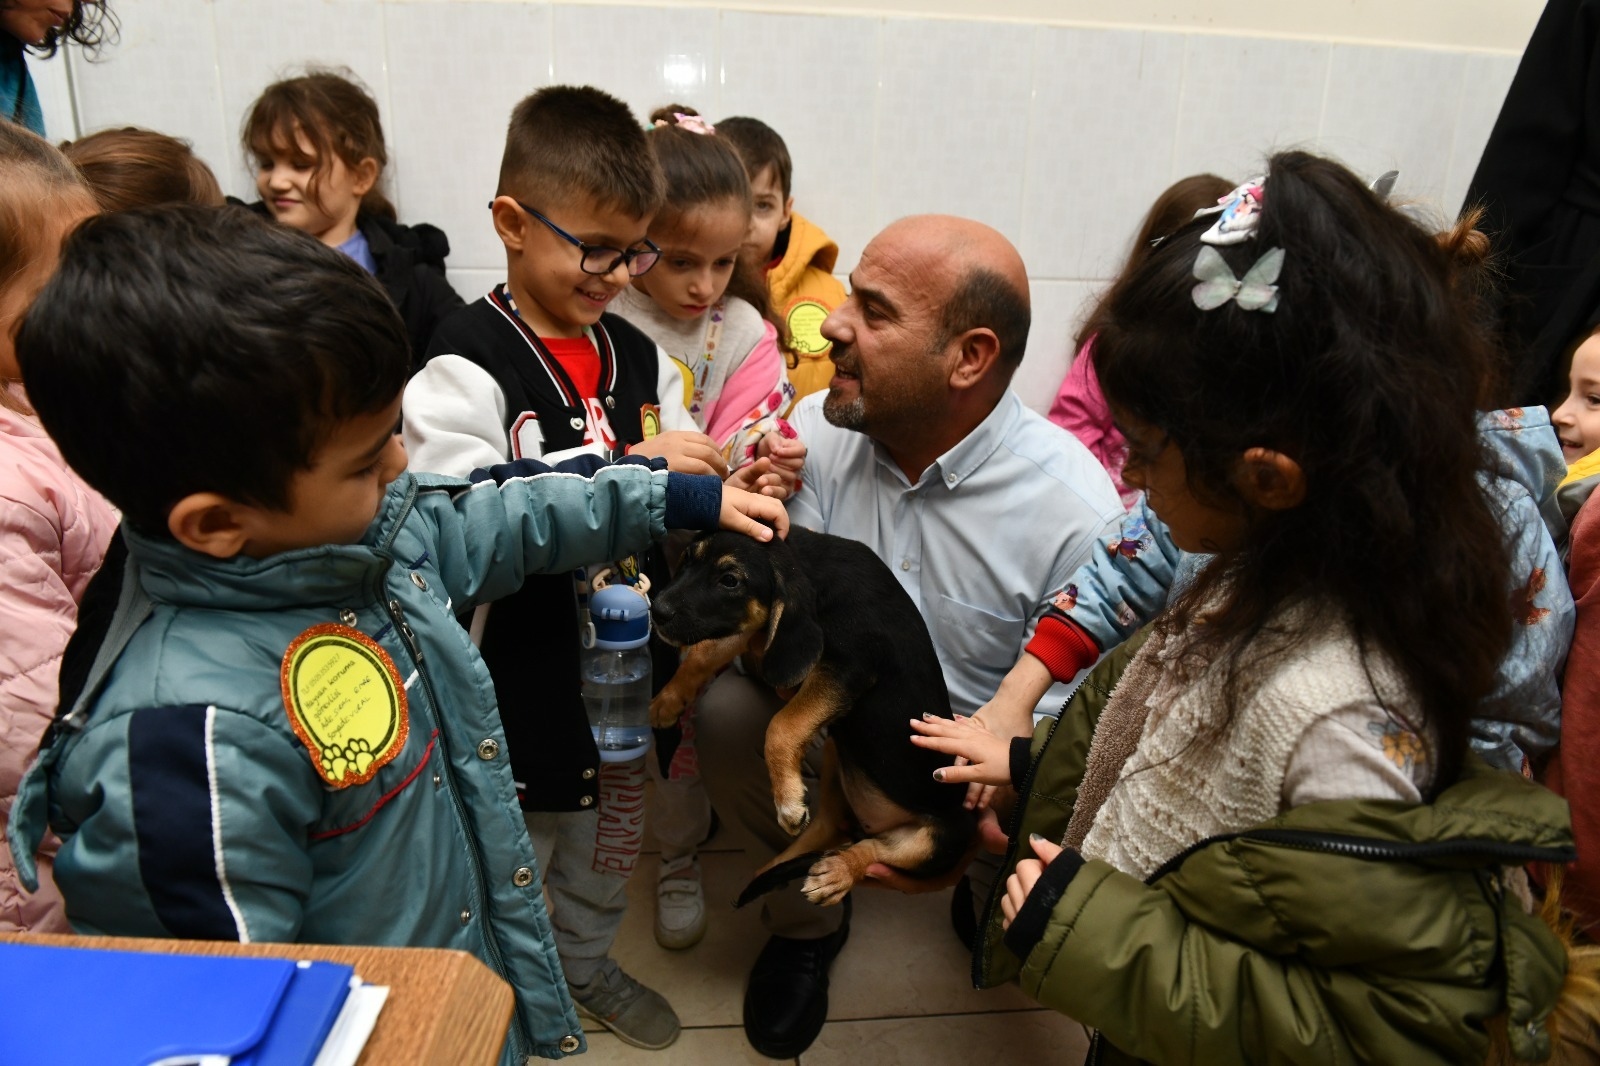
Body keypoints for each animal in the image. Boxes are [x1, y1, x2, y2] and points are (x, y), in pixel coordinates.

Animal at [649, 528, 972, 902]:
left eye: (730, 580)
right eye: (687, 559)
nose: (656, 610)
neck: (813, 572)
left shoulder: (846, 668)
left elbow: (782, 725)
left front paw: (787, 801)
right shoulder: (770, 642)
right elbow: (707, 651)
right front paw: (667, 700)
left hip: (942, 838)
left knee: (875, 850)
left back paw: (836, 871)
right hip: (837, 755)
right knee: (830, 826)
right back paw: (769, 871)